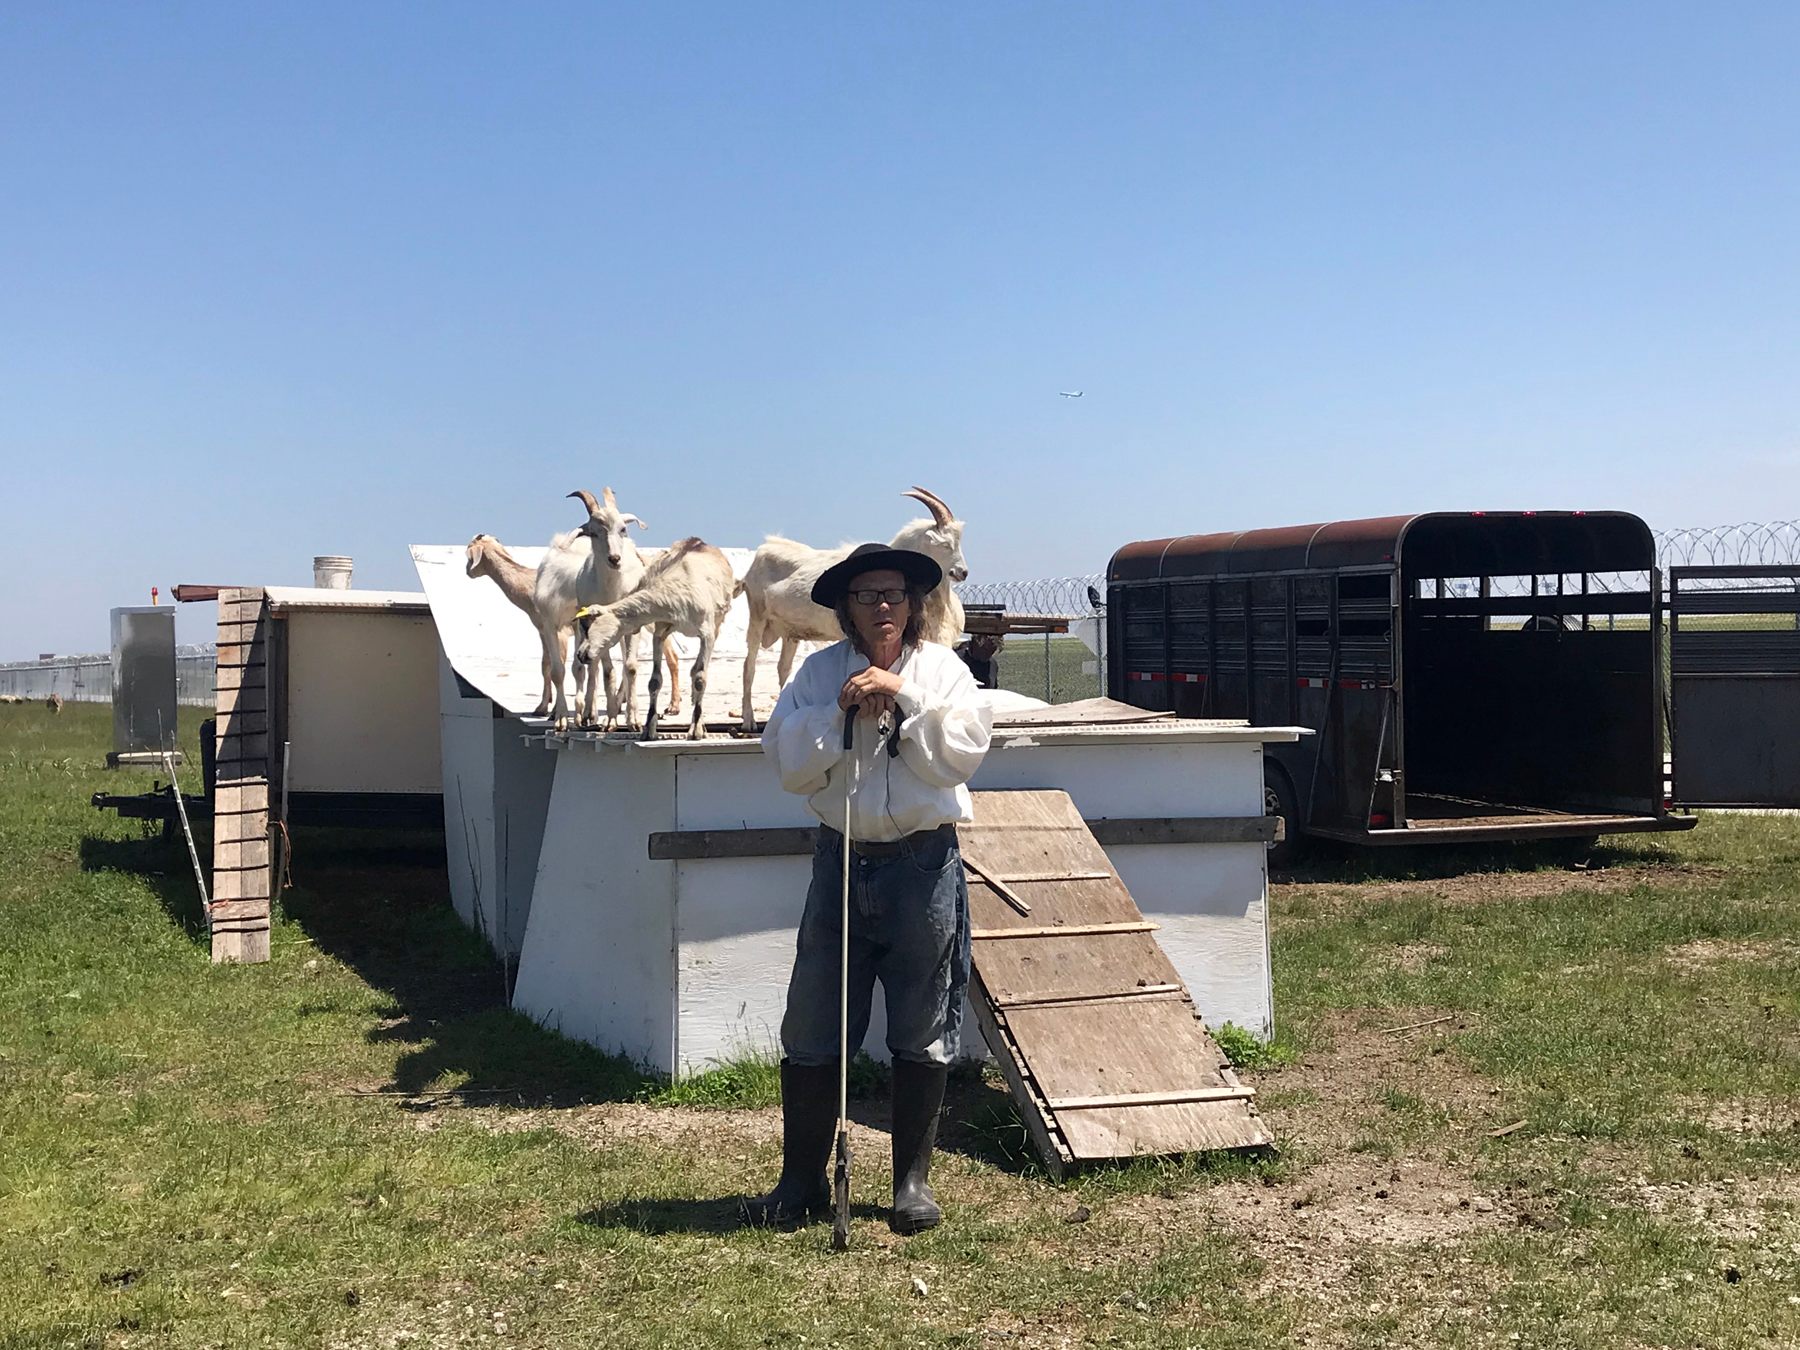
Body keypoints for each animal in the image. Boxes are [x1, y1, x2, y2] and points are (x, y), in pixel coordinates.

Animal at [579, 540, 741, 745]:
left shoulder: (707, 633)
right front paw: (649, 729)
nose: (581, 654)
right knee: (693, 669)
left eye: (588, 627)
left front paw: (695, 730)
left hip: (717, 624)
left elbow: (700, 679)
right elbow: (655, 681)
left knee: (698, 671)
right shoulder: (661, 631)